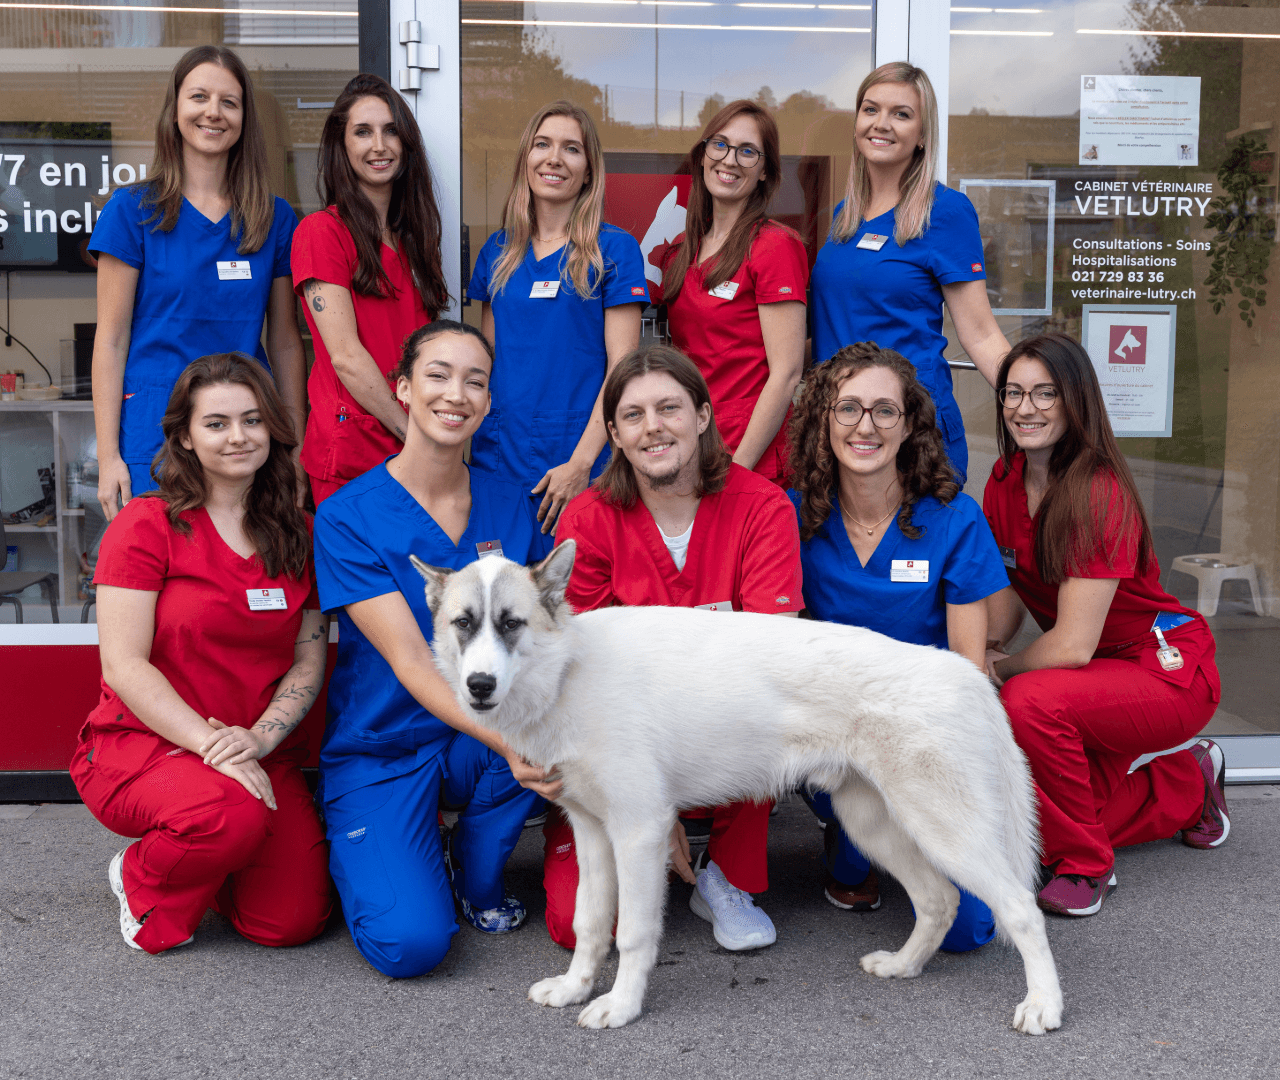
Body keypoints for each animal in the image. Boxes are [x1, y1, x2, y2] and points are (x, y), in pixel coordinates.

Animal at [412, 542, 1063, 1034]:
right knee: (938, 900)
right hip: (874, 824)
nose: (478, 686)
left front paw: (621, 1006)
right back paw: (903, 966)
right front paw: (575, 988)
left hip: (945, 831)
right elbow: (590, 926)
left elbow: (633, 934)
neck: (567, 669)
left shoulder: (640, 833)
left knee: (1021, 911)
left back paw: (1044, 1006)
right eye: (463, 624)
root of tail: (964, 671)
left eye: (511, 624)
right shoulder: (596, 837)